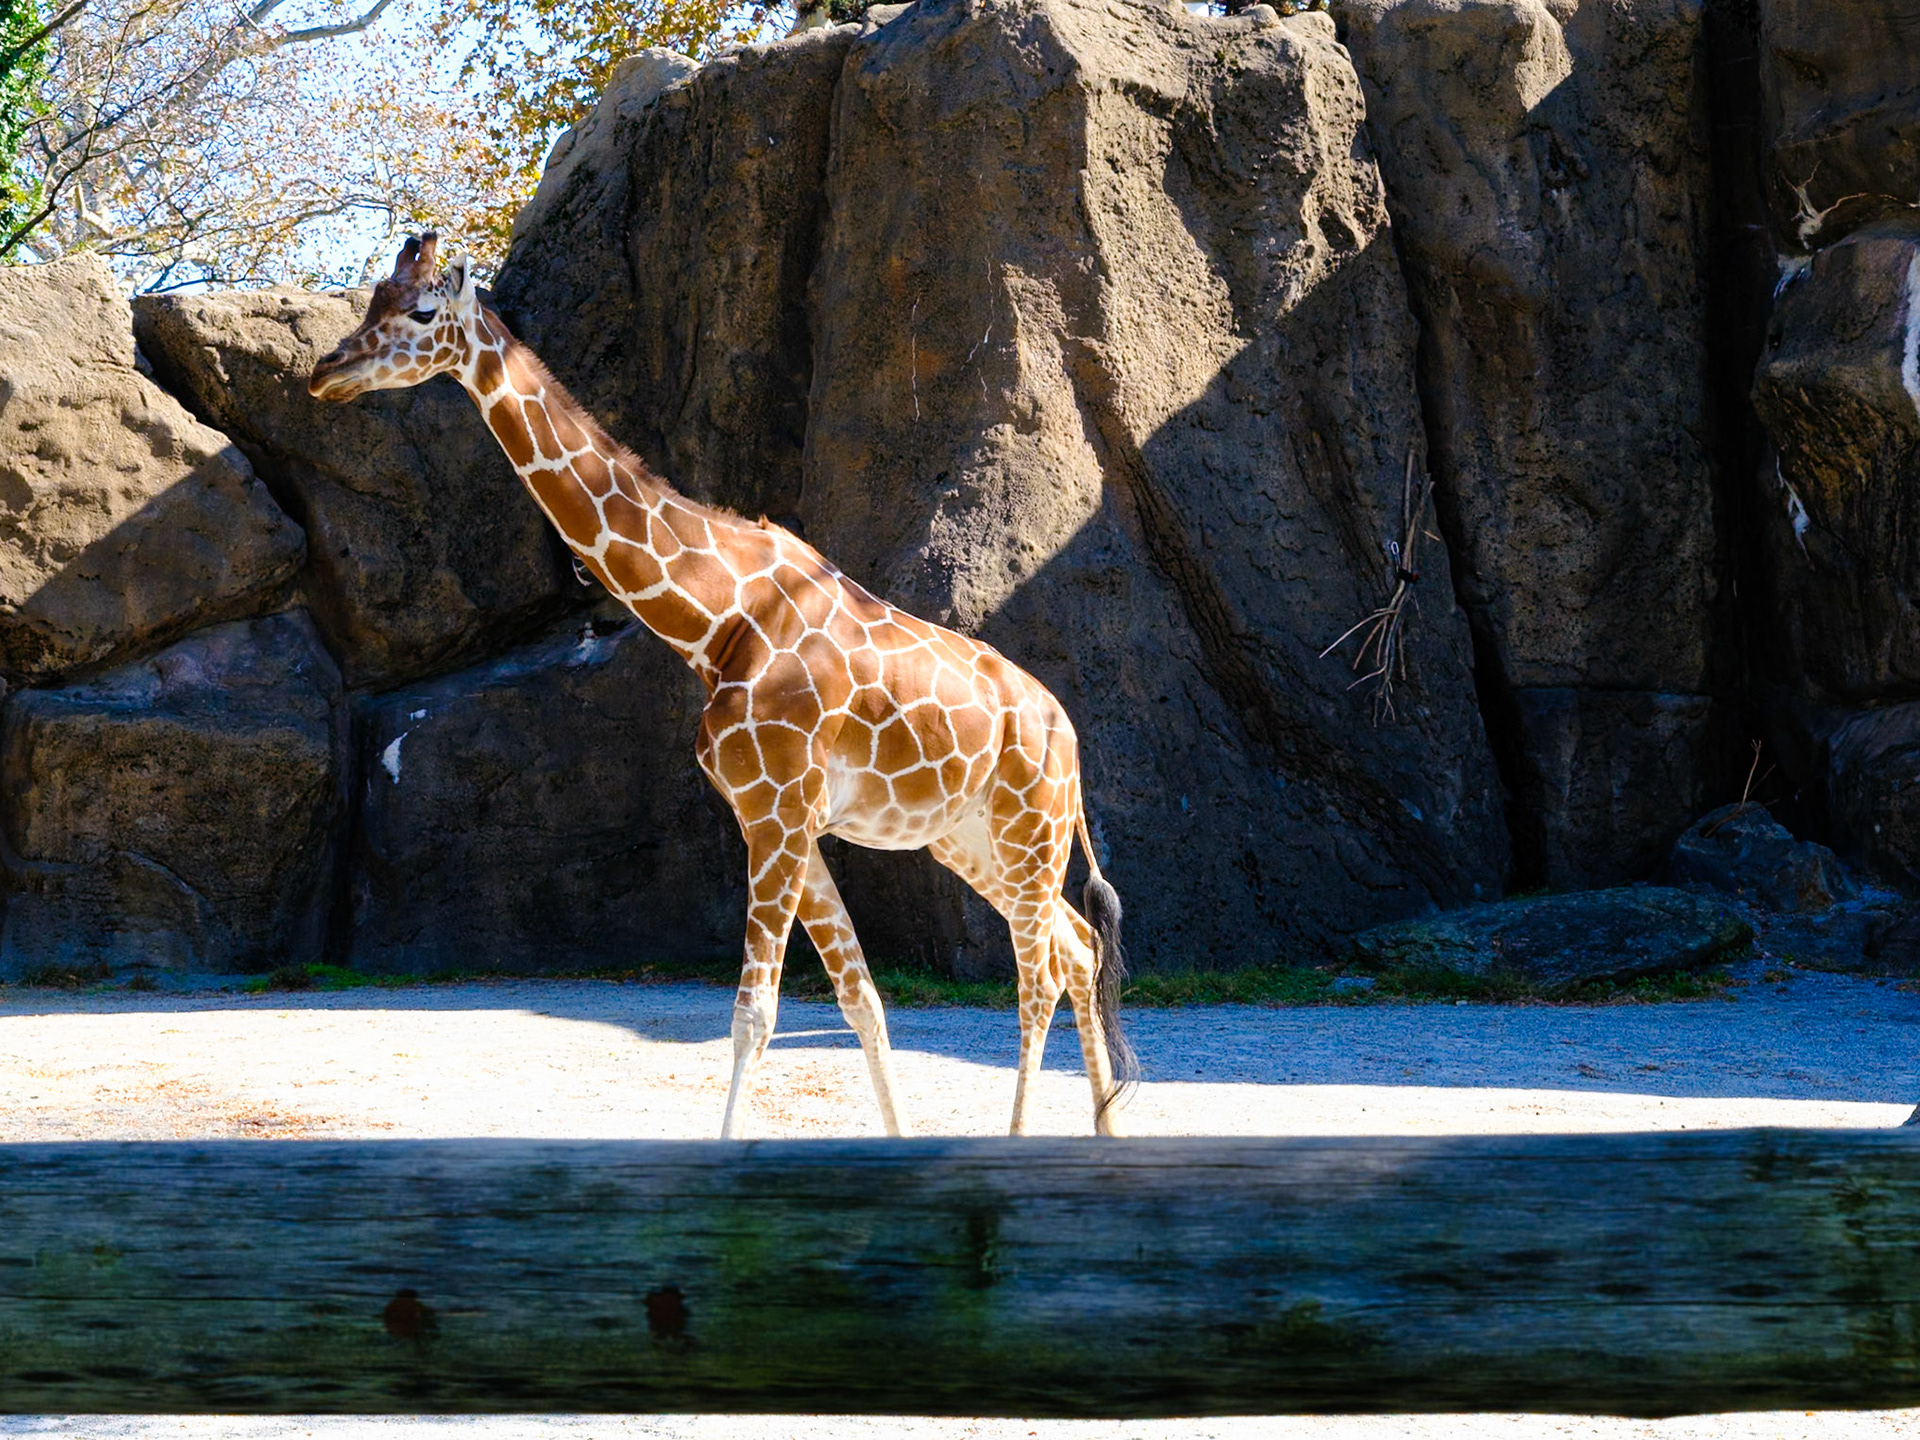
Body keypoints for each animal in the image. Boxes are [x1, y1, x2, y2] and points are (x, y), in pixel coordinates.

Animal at [308, 233, 1137, 1139]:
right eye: (373, 298)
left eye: (423, 311)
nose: (325, 370)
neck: (716, 618)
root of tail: (1071, 737)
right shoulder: (777, 818)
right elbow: (861, 1002)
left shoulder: (778, 815)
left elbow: (755, 1016)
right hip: (969, 837)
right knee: (1077, 946)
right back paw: (1104, 1133)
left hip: (1029, 829)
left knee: (1038, 973)